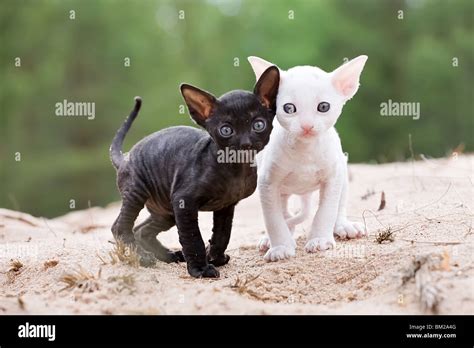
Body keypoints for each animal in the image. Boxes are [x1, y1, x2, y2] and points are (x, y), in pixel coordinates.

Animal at [109, 66, 280, 278]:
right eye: (226, 130)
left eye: (258, 125)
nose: (245, 143)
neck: (235, 170)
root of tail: (125, 157)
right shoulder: (184, 201)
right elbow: (192, 237)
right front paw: (201, 269)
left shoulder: (226, 205)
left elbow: (223, 234)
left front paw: (215, 257)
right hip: (137, 192)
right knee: (120, 227)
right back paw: (143, 257)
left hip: (166, 210)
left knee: (142, 230)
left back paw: (169, 255)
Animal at [250, 55, 368, 260]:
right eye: (289, 108)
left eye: (323, 107)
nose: (306, 125)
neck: (305, 150)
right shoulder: (266, 182)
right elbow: (273, 219)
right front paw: (280, 247)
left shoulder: (333, 177)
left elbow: (326, 210)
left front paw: (319, 240)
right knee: (283, 211)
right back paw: (271, 239)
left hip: (342, 169)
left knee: (340, 202)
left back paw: (343, 226)